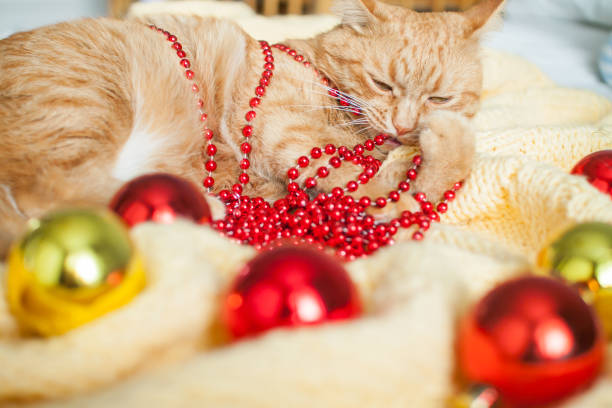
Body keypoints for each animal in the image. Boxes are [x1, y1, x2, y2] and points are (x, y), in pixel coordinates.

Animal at [0, 0, 504, 255]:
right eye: (381, 83)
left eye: (439, 97)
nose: (405, 124)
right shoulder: (296, 141)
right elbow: (394, 188)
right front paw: (441, 149)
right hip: (89, 99)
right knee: (49, 192)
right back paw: (201, 207)